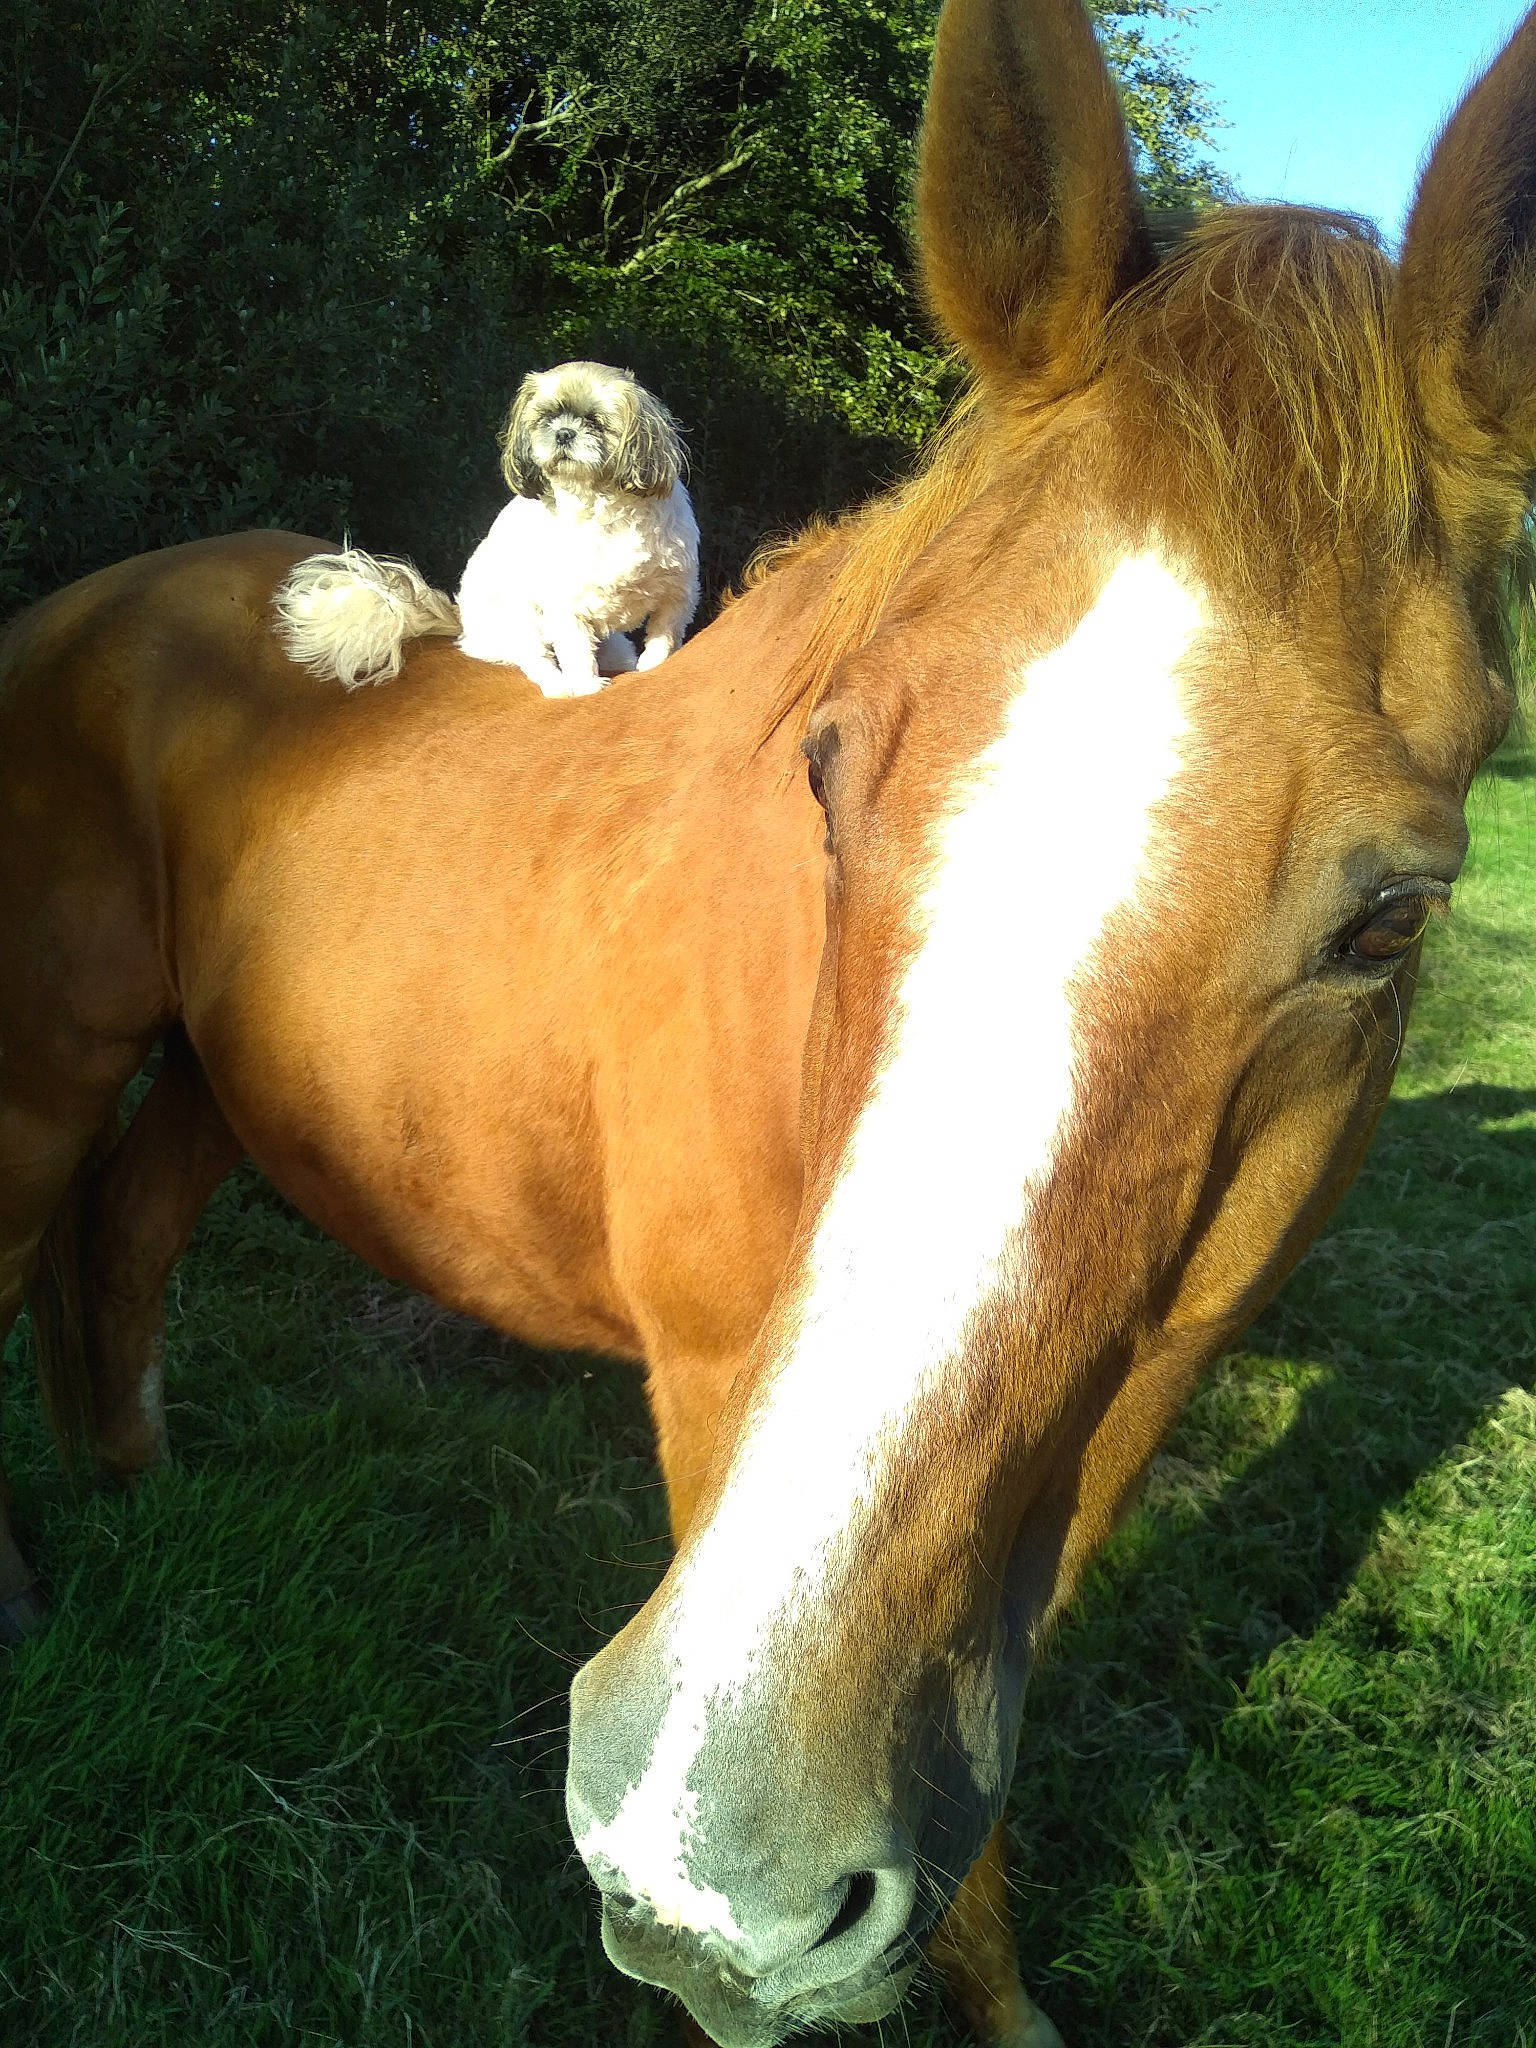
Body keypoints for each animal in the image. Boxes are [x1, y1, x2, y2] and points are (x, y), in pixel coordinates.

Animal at [2, 0, 1533, 2041]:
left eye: (1393, 914)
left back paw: (143, 1509)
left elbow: (969, 1740)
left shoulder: (1120, 1399)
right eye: (828, 771)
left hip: (218, 1082)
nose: (702, 1857)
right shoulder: (721, 1402)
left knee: (119, 1246)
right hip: (45, 1066)